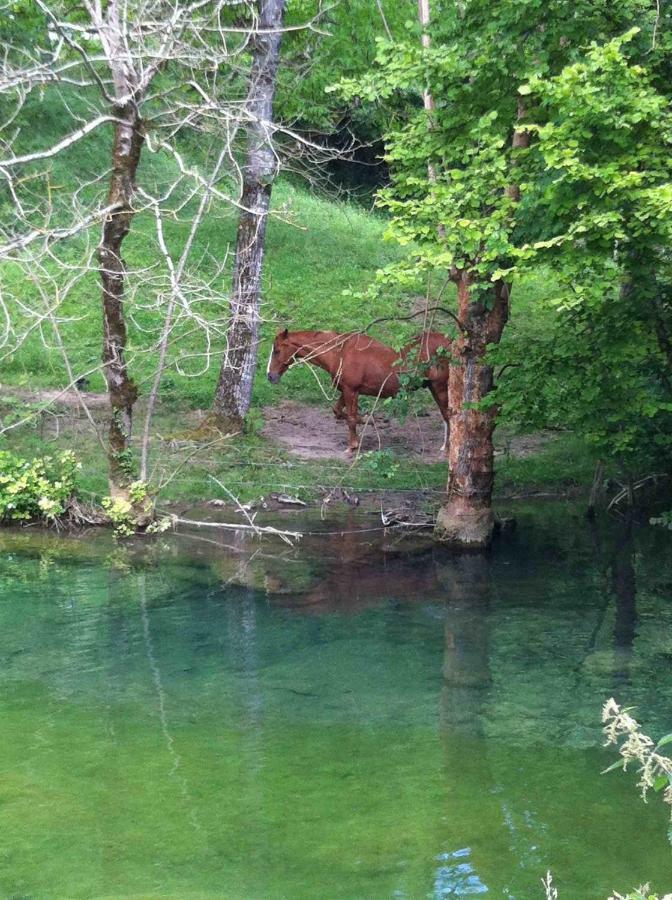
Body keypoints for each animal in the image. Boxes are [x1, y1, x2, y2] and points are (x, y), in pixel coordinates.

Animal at [266, 328, 452, 454]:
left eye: (277, 350)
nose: (270, 376)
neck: (339, 353)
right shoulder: (346, 390)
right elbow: (339, 411)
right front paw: (368, 421)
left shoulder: (351, 391)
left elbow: (350, 418)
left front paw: (353, 446)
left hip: (440, 388)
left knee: (449, 415)